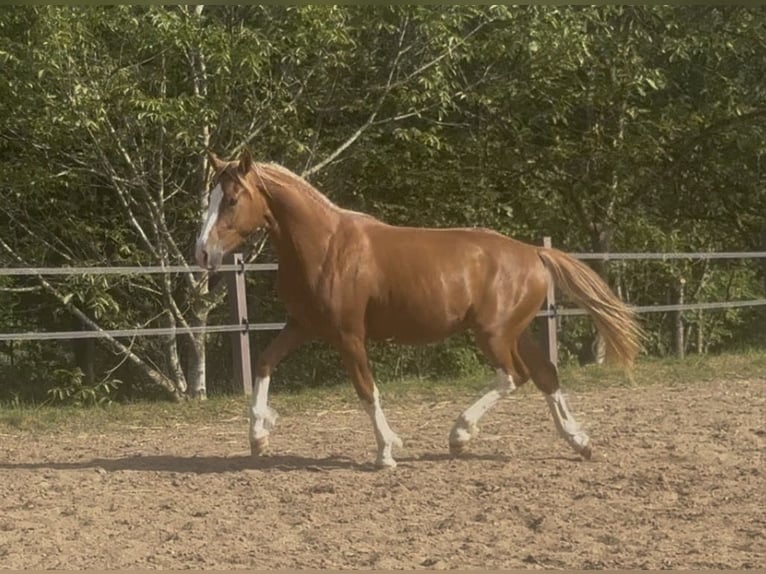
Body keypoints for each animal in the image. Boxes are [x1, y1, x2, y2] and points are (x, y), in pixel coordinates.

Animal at [195, 149, 643, 469]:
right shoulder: (302, 325)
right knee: (545, 374)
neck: (325, 245)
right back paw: (579, 442)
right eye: (211, 197)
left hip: (493, 334)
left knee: (513, 377)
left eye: (231, 199)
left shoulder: (348, 335)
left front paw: (386, 451)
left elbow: (366, 389)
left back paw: (460, 434)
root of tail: (533, 252)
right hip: (517, 331)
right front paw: (258, 436)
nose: (202, 252)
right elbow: (264, 362)